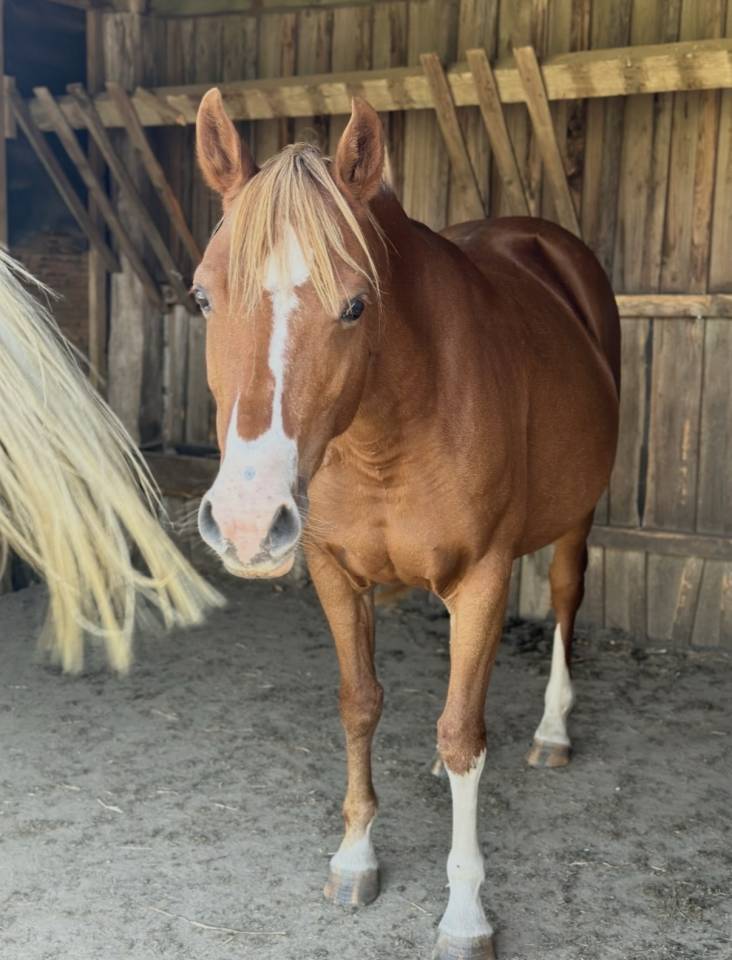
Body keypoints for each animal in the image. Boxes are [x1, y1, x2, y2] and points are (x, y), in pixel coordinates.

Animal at [192, 89, 620, 960]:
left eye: (356, 304)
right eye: (203, 297)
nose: (247, 523)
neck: (387, 427)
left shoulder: (484, 576)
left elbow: (463, 733)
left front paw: (464, 914)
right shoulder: (334, 572)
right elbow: (362, 703)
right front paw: (355, 856)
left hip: (576, 518)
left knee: (564, 599)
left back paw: (553, 732)